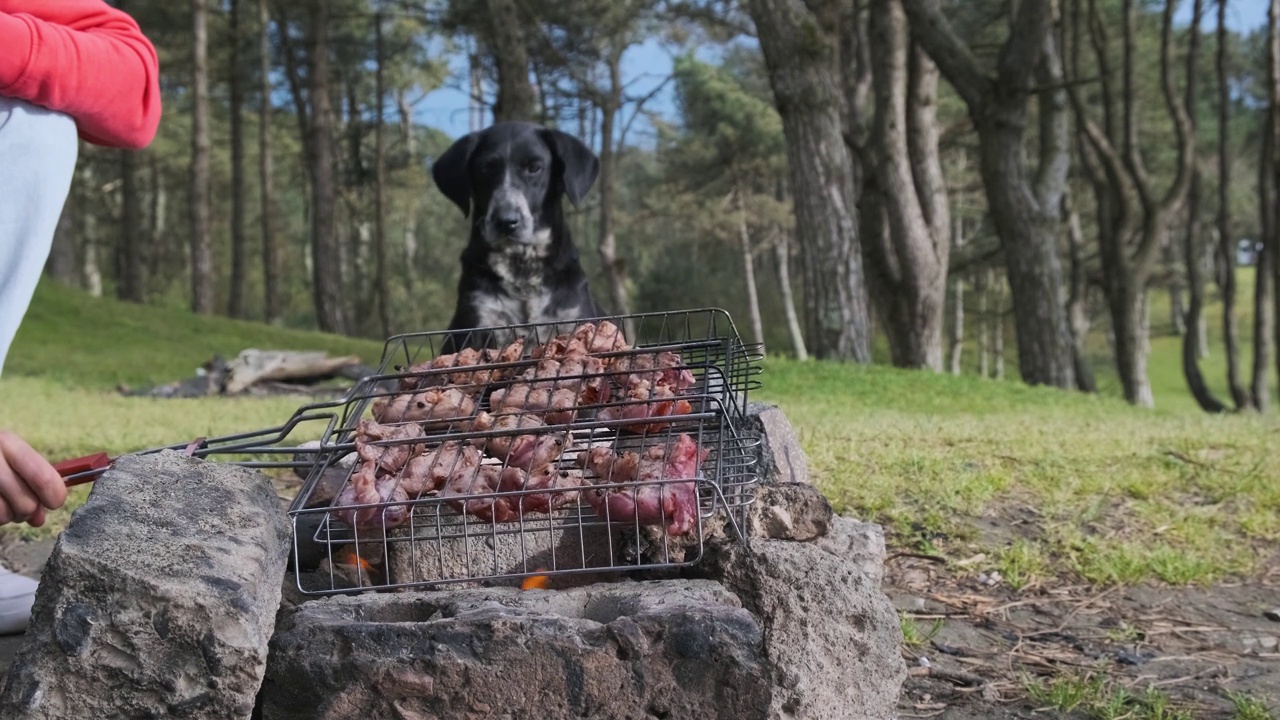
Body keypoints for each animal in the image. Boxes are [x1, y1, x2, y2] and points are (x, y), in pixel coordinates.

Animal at [432, 120, 606, 351]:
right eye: (486, 168)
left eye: (534, 167)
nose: (506, 221)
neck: (522, 268)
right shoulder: (480, 323)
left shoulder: (572, 317)